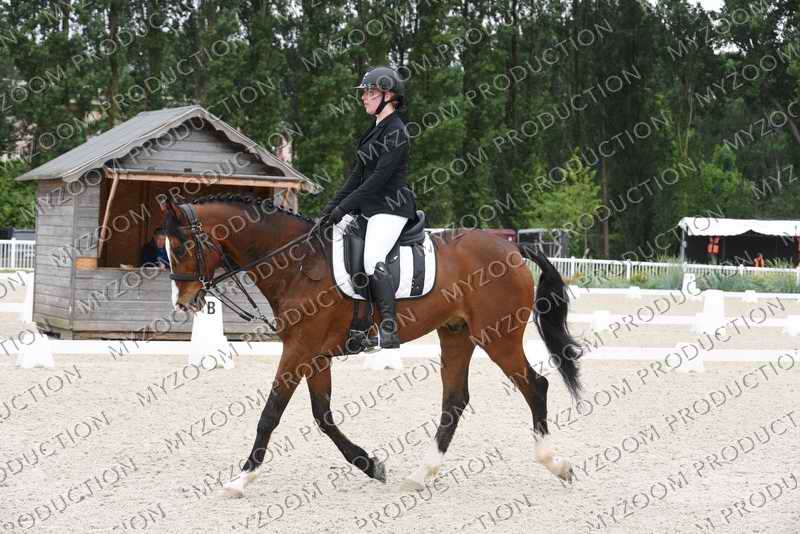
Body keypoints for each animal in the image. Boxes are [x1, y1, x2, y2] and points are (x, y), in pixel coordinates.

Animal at [160, 193, 583, 498]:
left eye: (179, 249)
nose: (183, 303)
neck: (296, 262)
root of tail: (509, 247)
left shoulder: (299, 348)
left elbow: (271, 413)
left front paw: (241, 479)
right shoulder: (315, 354)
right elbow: (323, 415)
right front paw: (369, 463)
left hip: (498, 336)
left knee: (535, 386)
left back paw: (557, 464)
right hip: (456, 333)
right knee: (455, 400)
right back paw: (420, 474)